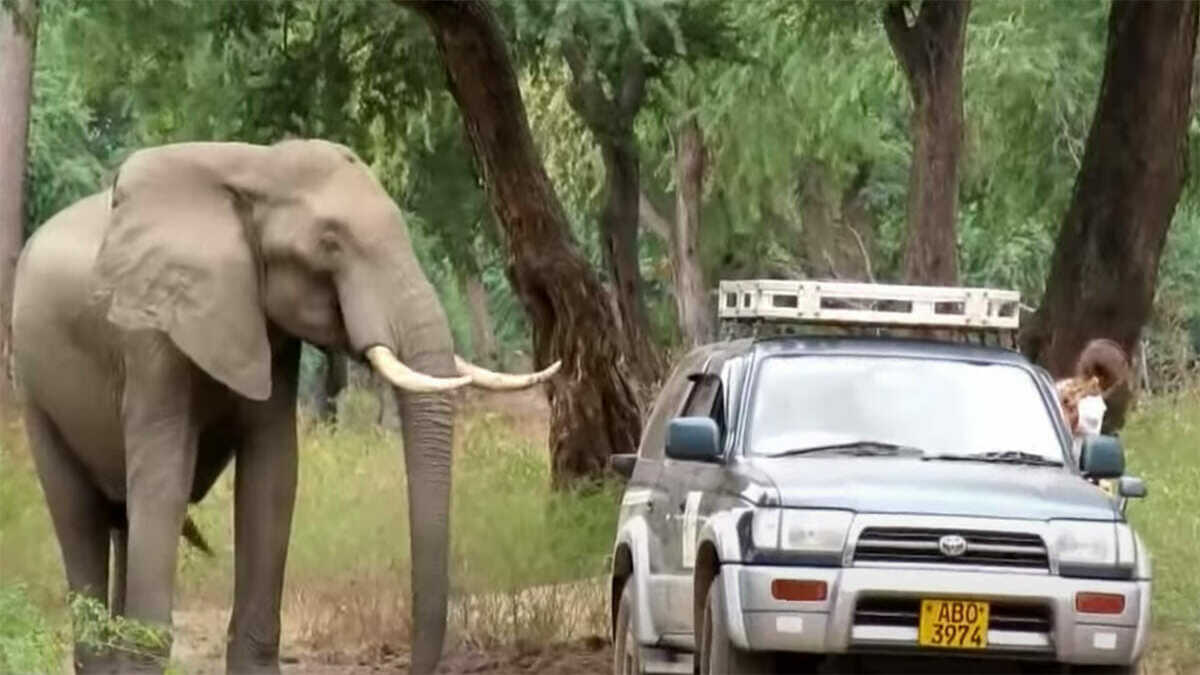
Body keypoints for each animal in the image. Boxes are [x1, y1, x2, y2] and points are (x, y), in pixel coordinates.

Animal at [11, 138, 559, 672]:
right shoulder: (150, 335)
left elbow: (272, 474)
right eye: (329, 244)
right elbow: (164, 479)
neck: (255, 165)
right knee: (79, 514)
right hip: (35, 389)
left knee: (123, 520)